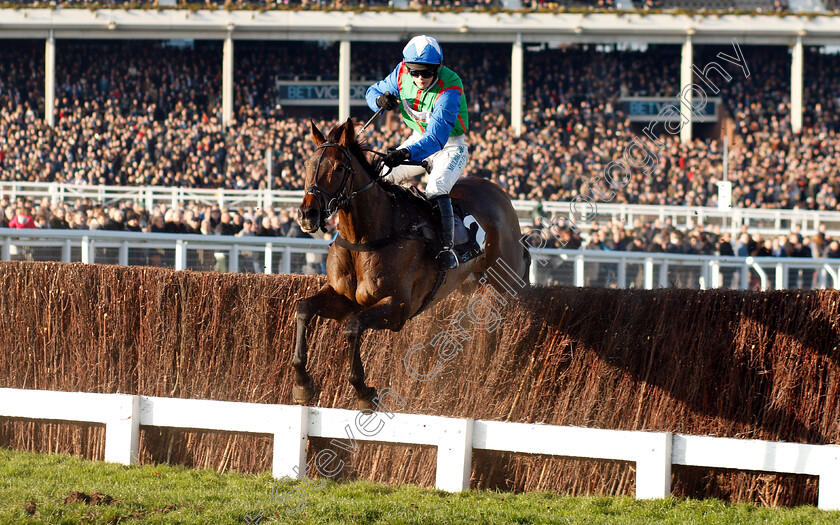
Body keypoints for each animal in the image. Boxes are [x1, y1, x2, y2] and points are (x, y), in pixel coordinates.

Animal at [292, 118, 528, 410]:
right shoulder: (342, 297)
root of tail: (499, 193)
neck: (367, 235)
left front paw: (364, 392)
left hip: (504, 278)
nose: (307, 214)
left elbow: (353, 327)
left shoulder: (398, 307)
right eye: (307, 165)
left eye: (338, 167)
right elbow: (303, 308)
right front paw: (302, 384)